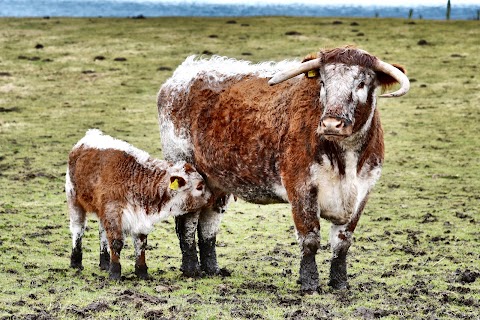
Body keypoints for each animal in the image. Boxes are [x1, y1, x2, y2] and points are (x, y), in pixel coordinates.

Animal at [66, 129, 212, 278]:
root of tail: (90, 135)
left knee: (102, 233)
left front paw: (141, 272)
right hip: (74, 199)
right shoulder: (114, 212)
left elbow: (140, 243)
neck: (134, 177)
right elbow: (116, 242)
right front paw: (115, 272)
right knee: (78, 229)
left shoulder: (136, 217)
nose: (212, 197)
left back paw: (105, 263)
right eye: (199, 186)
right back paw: (76, 262)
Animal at [157, 46, 408, 294]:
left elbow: (342, 241)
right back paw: (191, 270)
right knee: (188, 221)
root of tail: (180, 76)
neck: (345, 159)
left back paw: (212, 269)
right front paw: (310, 284)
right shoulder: (301, 189)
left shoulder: (362, 193)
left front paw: (340, 284)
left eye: (362, 83)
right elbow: (310, 238)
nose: (331, 124)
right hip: (188, 171)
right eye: (323, 82)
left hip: (217, 181)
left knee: (209, 222)